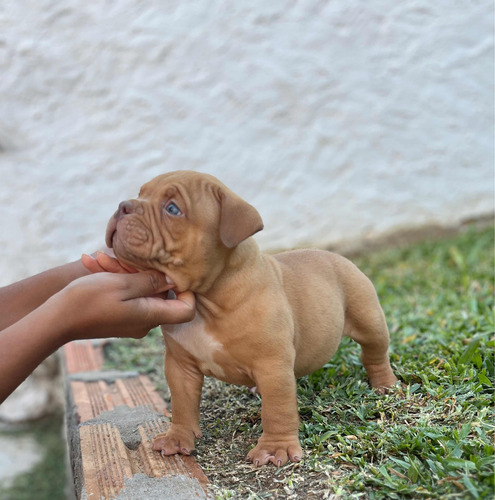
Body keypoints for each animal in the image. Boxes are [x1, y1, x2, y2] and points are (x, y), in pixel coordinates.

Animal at [105, 170, 400, 466]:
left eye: (173, 209)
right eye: (140, 193)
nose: (122, 206)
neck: (207, 300)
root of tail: (336, 256)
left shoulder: (272, 366)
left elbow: (278, 409)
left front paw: (275, 448)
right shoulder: (180, 366)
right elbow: (182, 404)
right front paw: (176, 438)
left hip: (368, 318)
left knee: (374, 352)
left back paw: (385, 385)